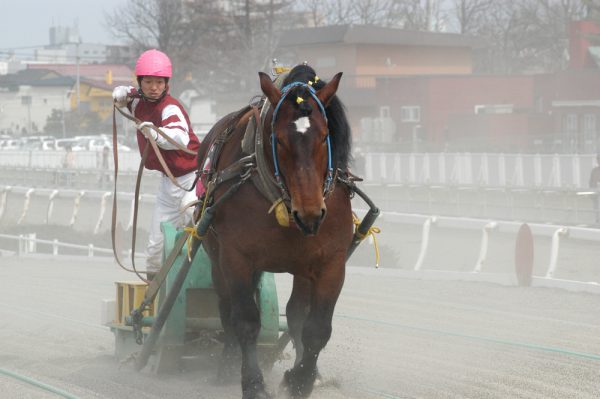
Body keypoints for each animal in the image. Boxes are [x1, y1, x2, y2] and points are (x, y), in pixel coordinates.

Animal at [197, 64, 356, 398]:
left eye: (325, 137)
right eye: (279, 140)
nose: (310, 212)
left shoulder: (331, 262)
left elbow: (316, 327)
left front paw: (301, 379)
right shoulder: (236, 257)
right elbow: (245, 320)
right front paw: (253, 383)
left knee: (296, 314)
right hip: (216, 255)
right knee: (226, 307)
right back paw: (227, 364)